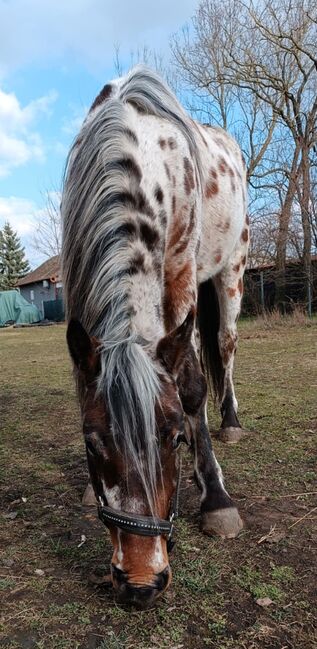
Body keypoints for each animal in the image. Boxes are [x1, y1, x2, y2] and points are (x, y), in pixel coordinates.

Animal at [61, 66, 248, 608]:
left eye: (172, 438)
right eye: (92, 442)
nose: (142, 581)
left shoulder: (181, 271)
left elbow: (191, 385)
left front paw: (216, 499)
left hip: (230, 270)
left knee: (224, 346)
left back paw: (230, 421)